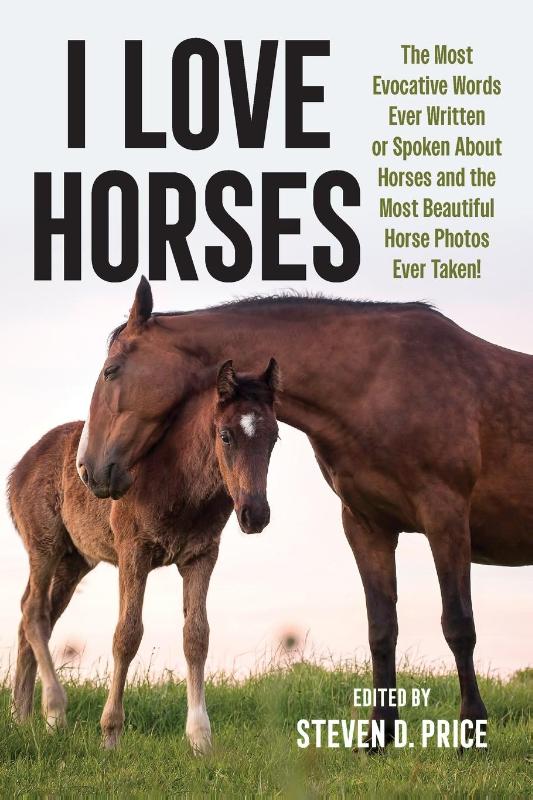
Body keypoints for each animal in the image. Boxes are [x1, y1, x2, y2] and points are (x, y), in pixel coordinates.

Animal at [9, 358, 281, 751]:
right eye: (226, 435)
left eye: (274, 438)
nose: (255, 514)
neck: (179, 478)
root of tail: (19, 469)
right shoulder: (133, 552)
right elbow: (127, 635)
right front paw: (110, 734)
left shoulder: (201, 556)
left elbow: (197, 636)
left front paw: (201, 739)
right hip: (45, 546)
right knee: (34, 613)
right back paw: (54, 711)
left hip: (75, 561)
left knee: (34, 616)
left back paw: (22, 716)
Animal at [78, 277, 533, 747]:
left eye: (111, 371)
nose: (88, 468)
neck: (382, 382)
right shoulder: (366, 526)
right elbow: (381, 628)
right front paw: (378, 737)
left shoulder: (446, 518)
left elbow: (459, 625)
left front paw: (471, 732)